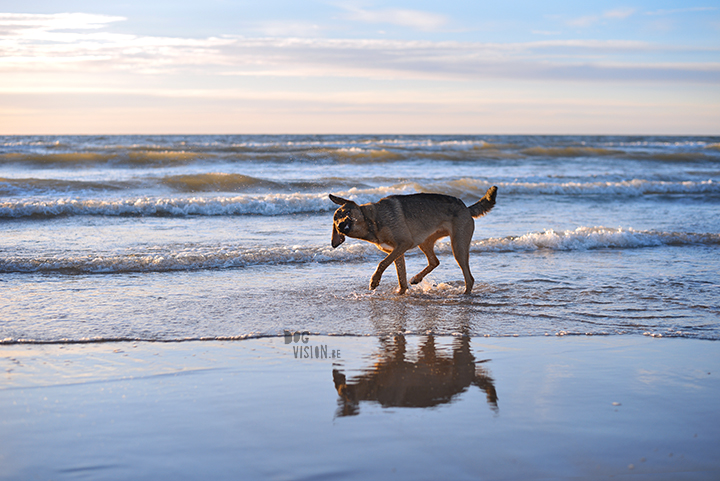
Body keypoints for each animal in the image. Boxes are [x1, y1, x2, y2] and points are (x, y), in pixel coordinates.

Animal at [330, 187, 496, 292]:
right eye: (336, 219)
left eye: (347, 212)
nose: (340, 225)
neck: (372, 221)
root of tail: (466, 208)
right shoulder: (397, 252)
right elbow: (401, 277)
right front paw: (400, 293)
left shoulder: (403, 244)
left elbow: (382, 263)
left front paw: (374, 281)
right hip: (425, 242)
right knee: (434, 261)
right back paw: (417, 279)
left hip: (458, 247)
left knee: (469, 278)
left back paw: (464, 295)